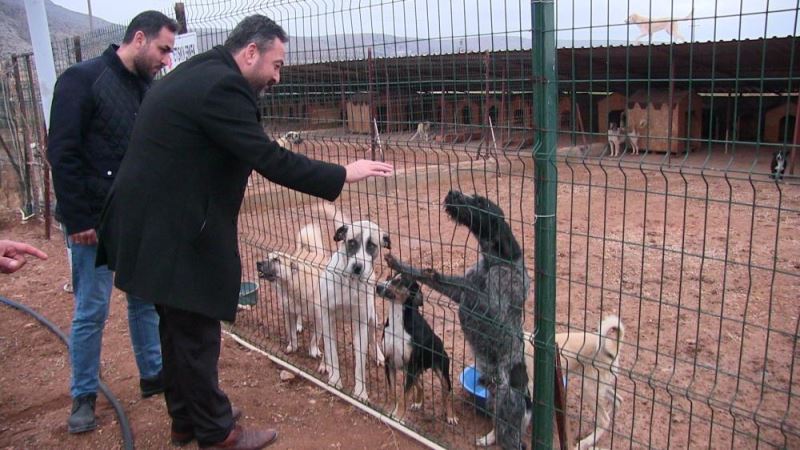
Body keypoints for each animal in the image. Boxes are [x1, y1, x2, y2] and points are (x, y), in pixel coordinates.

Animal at [318, 204, 390, 400]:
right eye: (351, 242)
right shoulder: (327, 316)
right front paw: (335, 379)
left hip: (372, 318)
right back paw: (324, 364)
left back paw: (379, 356)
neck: (349, 283)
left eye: (372, 245)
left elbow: (360, 361)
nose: (358, 267)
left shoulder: (362, 323)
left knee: (373, 338)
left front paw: (361, 392)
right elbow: (332, 351)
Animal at [378, 270, 460, 426]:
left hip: (441, 373)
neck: (398, 321)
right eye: (388, 277)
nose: (378, 286)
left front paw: (399, 417)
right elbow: (393, 392)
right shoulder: (389, 362)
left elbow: (404, 395)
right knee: (421, 385)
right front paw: (390, 411)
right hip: (413, 370)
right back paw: (418, 403)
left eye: (399, 281)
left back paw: (451, 416)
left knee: (447, 395)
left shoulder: (411, 365)